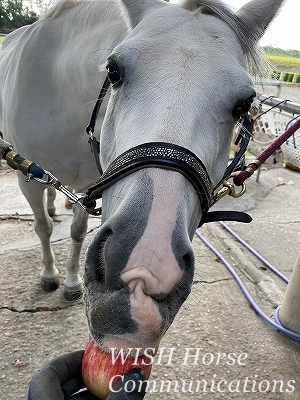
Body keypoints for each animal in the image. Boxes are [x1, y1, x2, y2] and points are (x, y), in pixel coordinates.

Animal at [0, 0, 284, 348]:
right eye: (113, 71)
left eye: (245, 102)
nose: (144, 271)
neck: (59, 89)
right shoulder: (26, 177)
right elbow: (42, 227)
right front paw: (50, 277)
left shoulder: (90, 184)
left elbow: (77, 232)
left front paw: (69, 281)